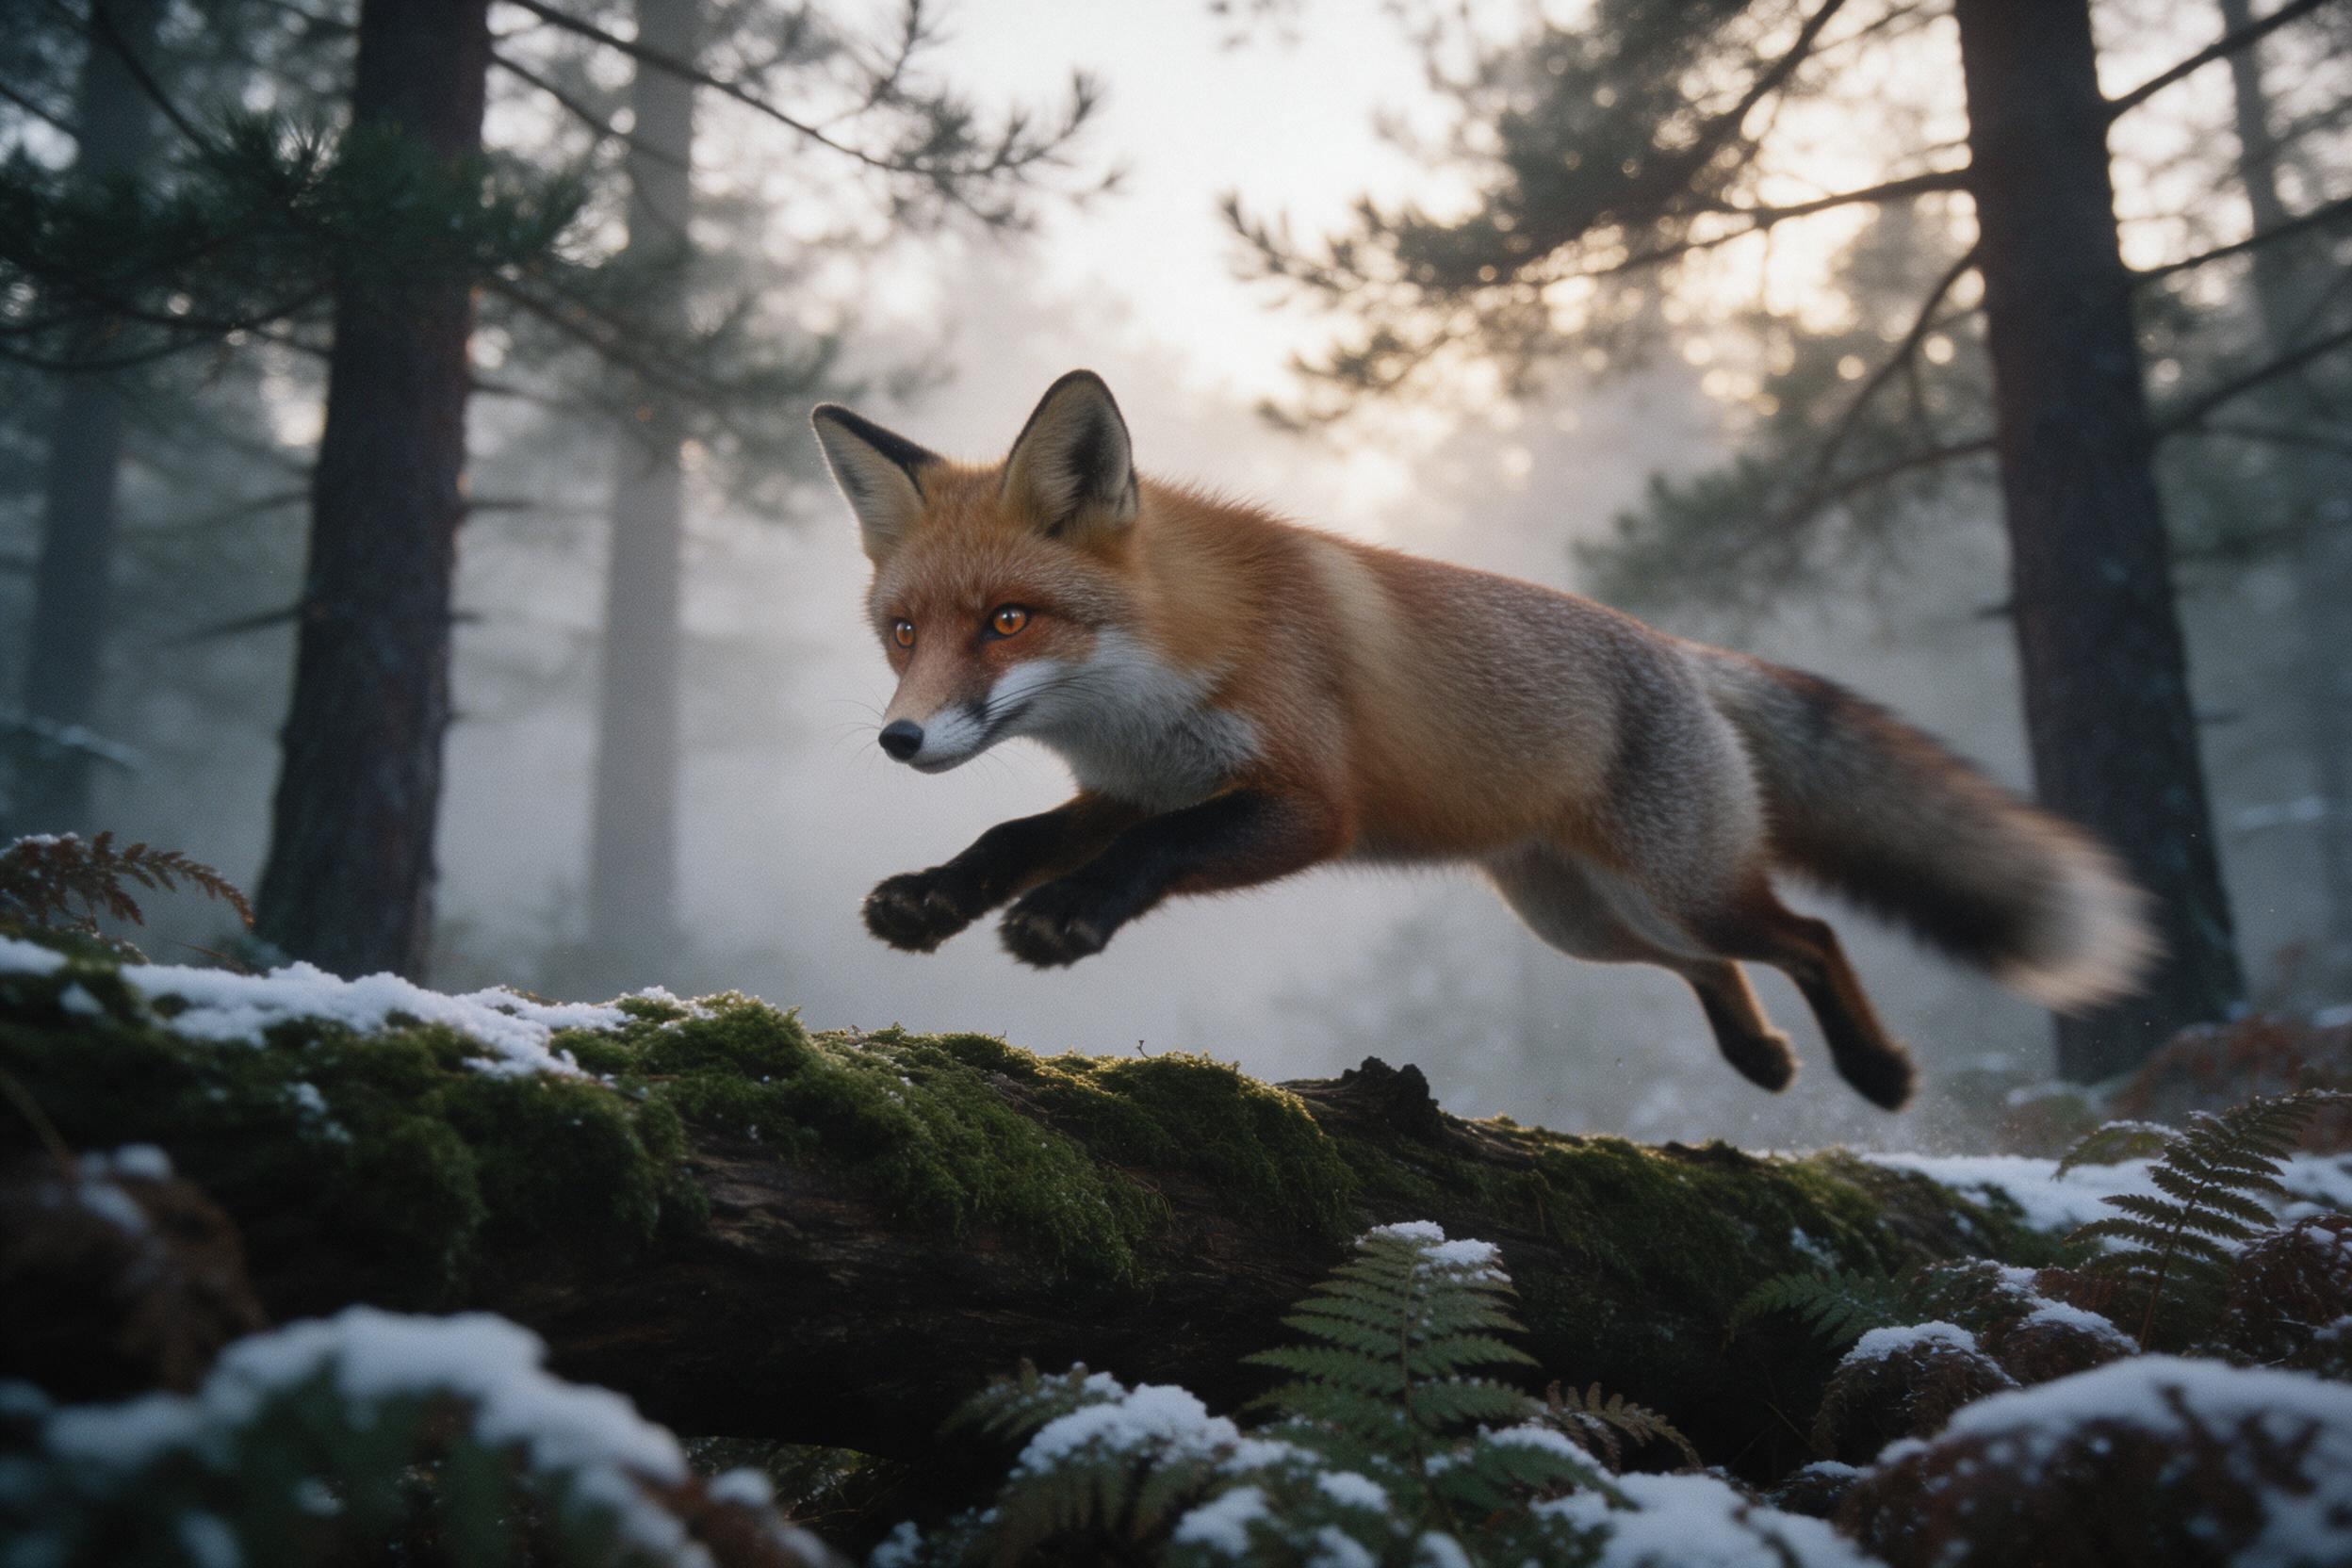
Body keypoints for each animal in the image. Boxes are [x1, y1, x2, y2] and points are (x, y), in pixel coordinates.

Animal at [810, 370, 2156, 1110]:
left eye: (1007, 620)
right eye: (903, 630)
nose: (900, 738)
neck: (1153, 681)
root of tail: (1677, 649)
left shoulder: (1304, 805)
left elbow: (1146, 857)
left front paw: (1066, 919)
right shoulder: (1132, 786)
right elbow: (1013, 831)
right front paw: (934, 896)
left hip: (1680, 884)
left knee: (1809, 935)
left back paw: (1873, 1073)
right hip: (1579, 918)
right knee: (1714, 966)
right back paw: (1761, 1058)